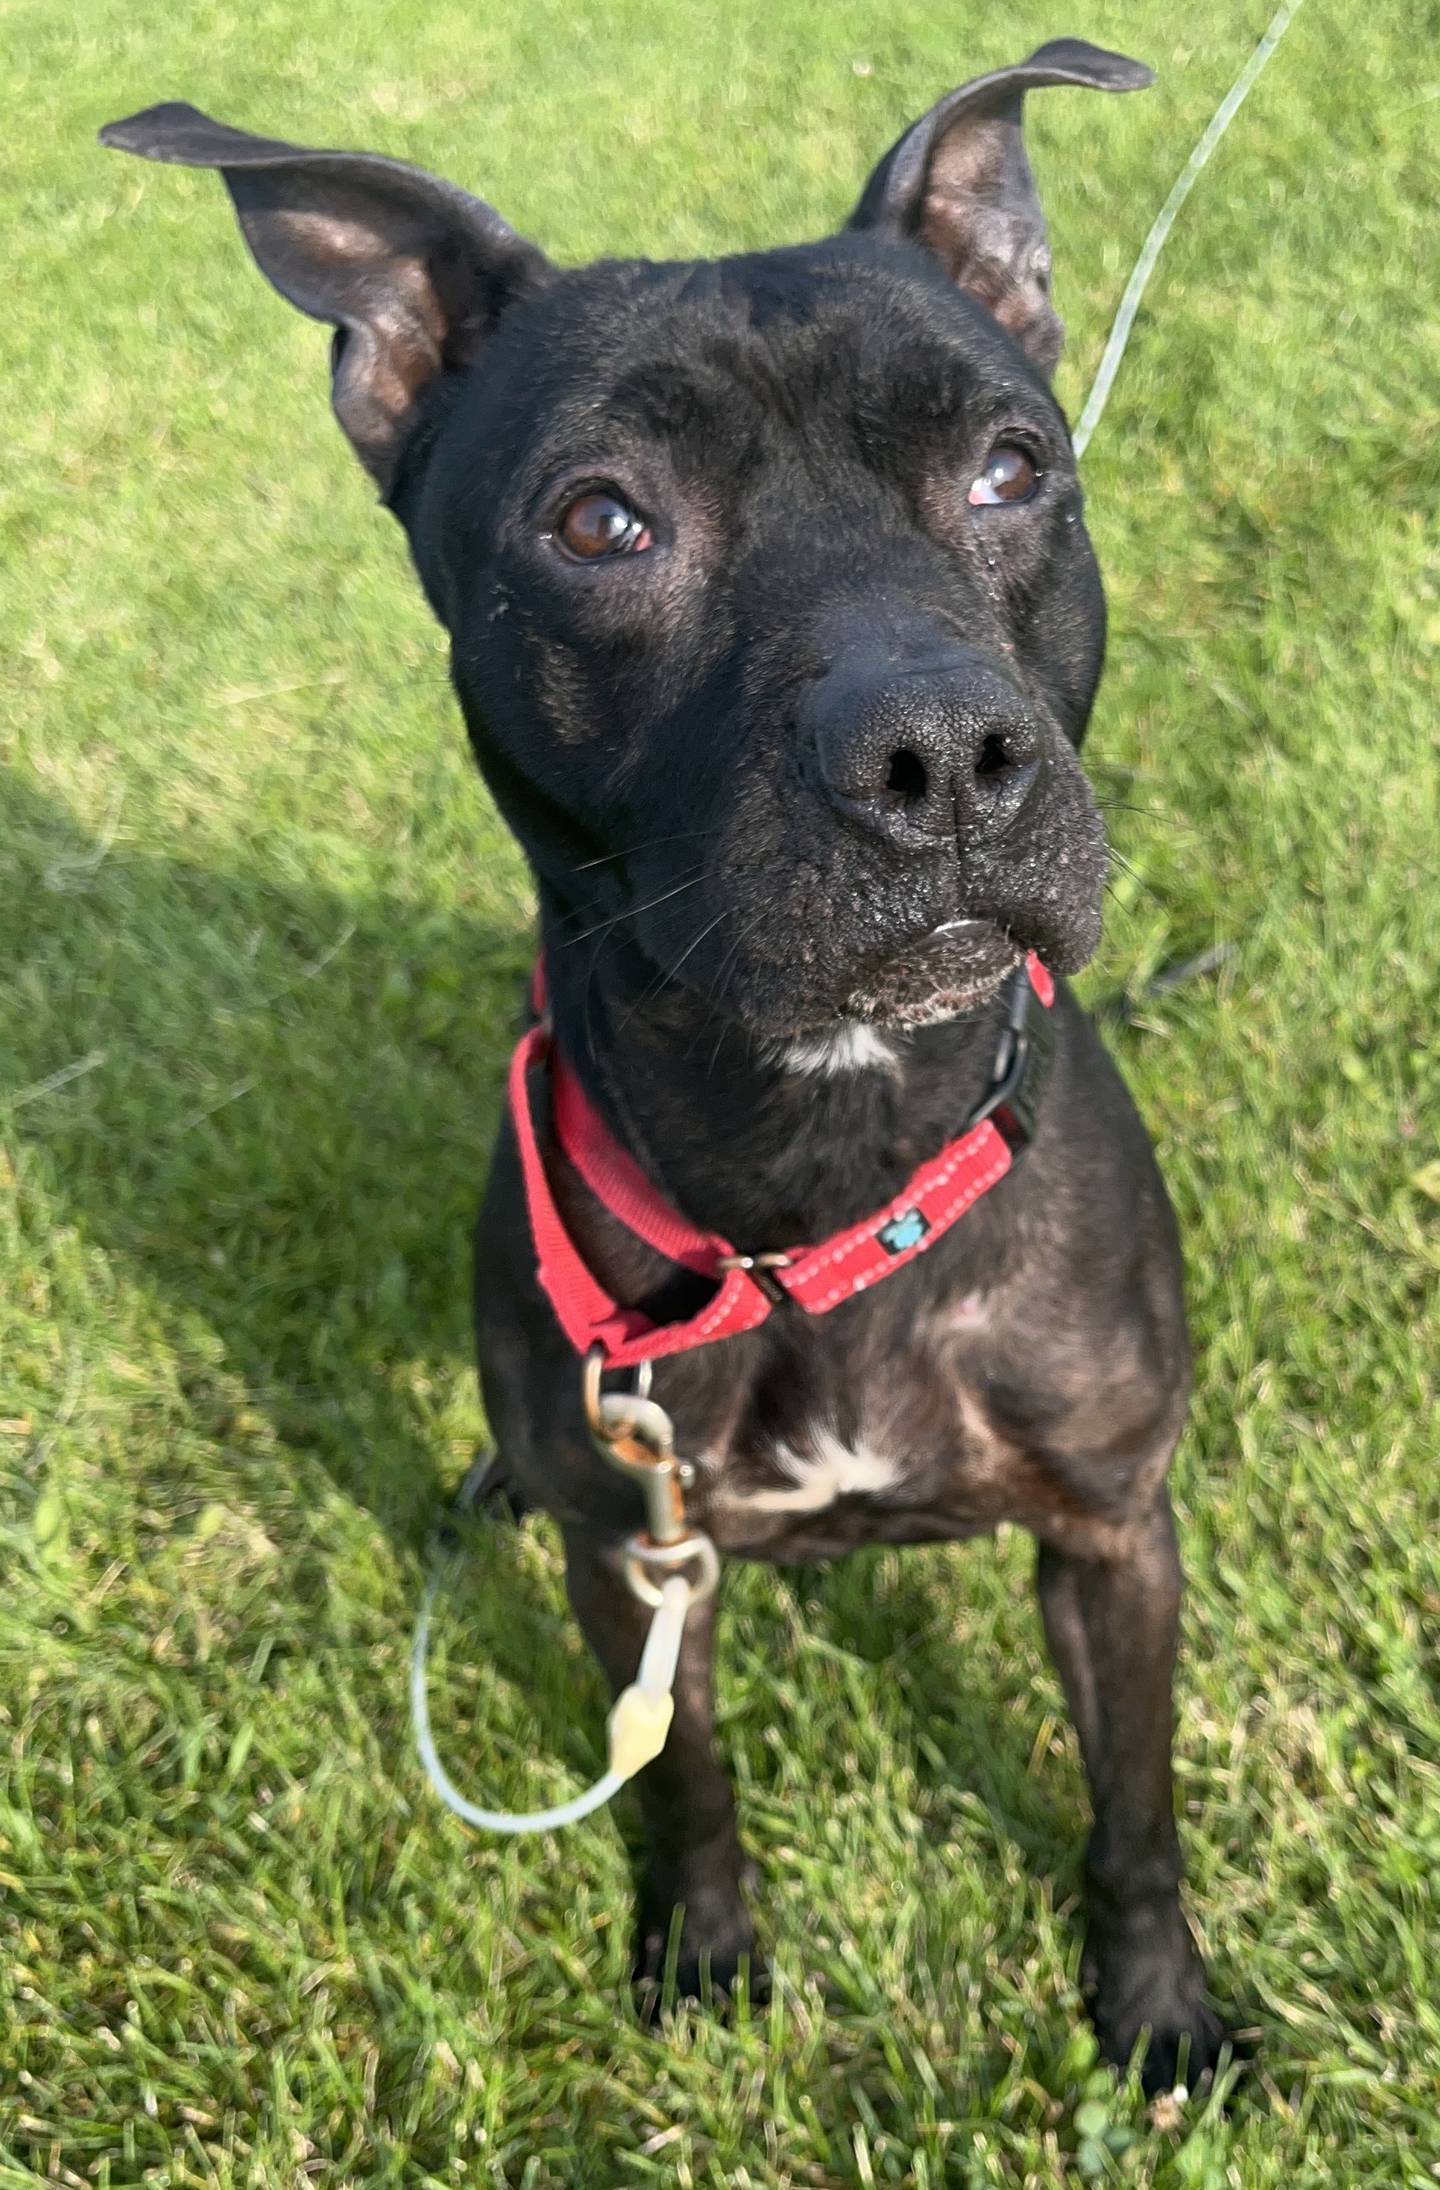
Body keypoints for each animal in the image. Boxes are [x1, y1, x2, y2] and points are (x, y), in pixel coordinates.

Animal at [103, 38, 1225, 2084]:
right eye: (601, 522)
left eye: (1013, 465)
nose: (940, 756)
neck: (832, 1165)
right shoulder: (640, 1562)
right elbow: (680, 1781)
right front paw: (700, 1954)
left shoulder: (1116, 1533)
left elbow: (1135, 1809)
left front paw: (1160, 2010)